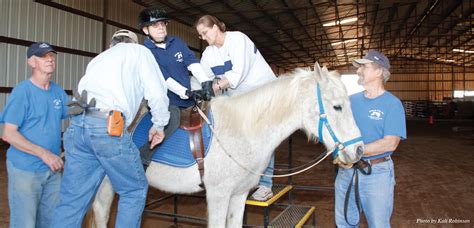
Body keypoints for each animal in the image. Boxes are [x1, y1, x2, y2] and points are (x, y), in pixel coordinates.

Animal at [91, 62, 362, 226]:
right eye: (337, 106)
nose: (359, 150)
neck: (242, 129)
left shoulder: (239, 195)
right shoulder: (218, 195)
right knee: (101, 211)